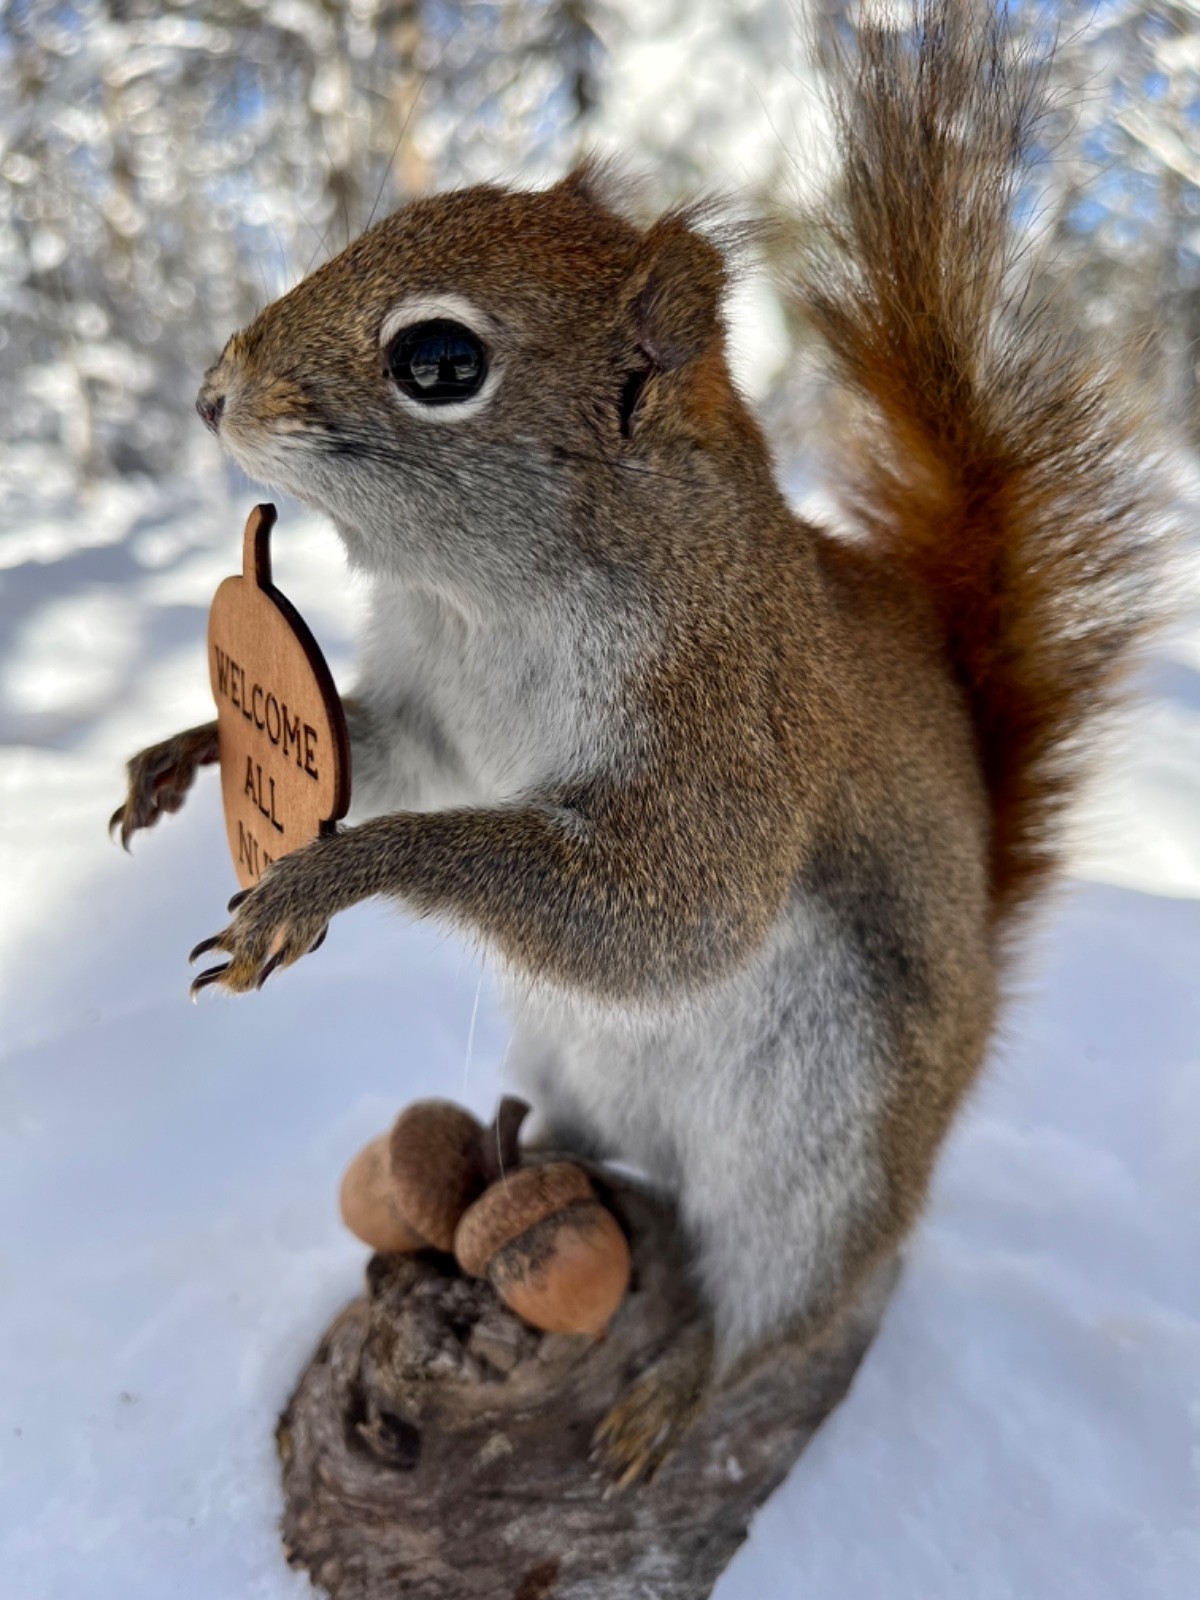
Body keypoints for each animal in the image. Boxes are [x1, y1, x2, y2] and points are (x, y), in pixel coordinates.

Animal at [112, 2, 1163, 1484]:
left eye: (441, 363)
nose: (213, 393)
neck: (486, 605)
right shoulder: (436, 713)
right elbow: (396, 757)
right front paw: (188, 745)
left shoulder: (739, 720)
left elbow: (672, 910)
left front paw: (327, 878)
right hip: (591, 1073)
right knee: (602, 1152)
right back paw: (516, 1153)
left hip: (825, 1162)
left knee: (783, 1307)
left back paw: (674, 1392)